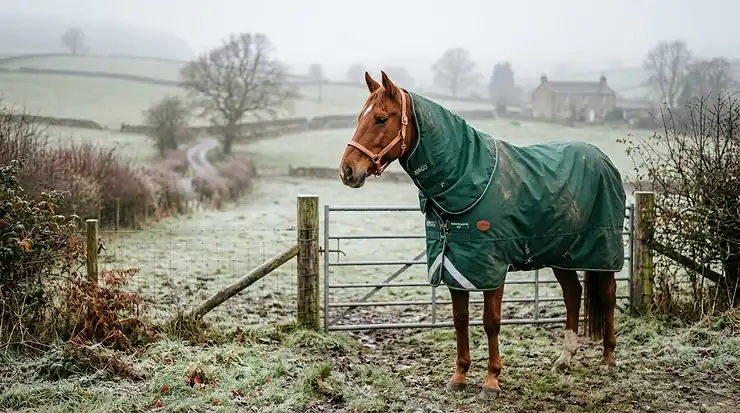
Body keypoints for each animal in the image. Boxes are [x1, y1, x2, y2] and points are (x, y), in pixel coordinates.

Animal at [338, 71, 626, 400]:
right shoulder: (452, 265)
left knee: (607, 296)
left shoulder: (492, 267)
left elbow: (491, 322)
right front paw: (459, 376)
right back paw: (564, 359)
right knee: (572, 294)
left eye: (381, 118)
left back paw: (608, 359)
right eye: (361, 117)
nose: (347, 170)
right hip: (560, 253)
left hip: (602, 251)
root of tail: (603, 160)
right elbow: (460, 320)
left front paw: (491, 380)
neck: (465, 178)